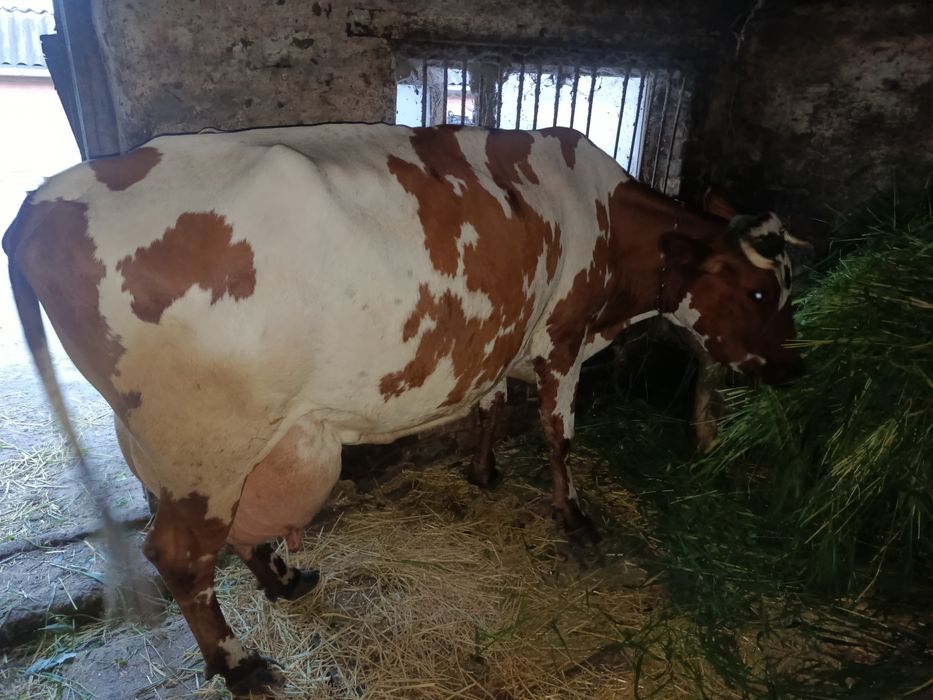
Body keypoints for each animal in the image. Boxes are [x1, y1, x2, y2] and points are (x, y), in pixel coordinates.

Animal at [4, 124, 802, 695]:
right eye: (762, 291)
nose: (794, 369)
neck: (604, 222)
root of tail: (40, 202)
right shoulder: (562, 339)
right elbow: (559, 435)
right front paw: (574, 517)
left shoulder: (501, 336)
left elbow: (489, 406)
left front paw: (483, 472)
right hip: (203, 443)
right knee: (179, 556)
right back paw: (241, 666)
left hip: (211, 444)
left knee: (232, 532)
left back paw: (283, 580)